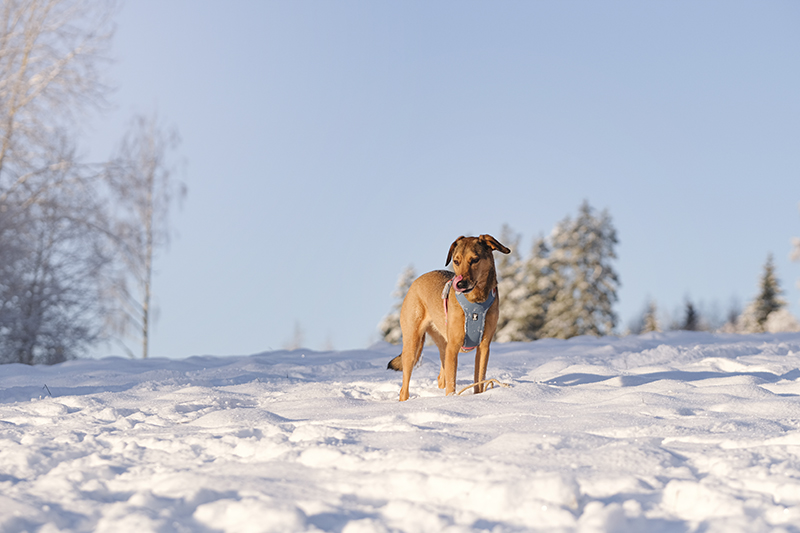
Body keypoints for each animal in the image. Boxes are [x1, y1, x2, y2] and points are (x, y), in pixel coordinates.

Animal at [390, 235, 512, 402]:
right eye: (456, 261)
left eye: (475, 260)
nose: (460, 283)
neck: (475, 303)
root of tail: (416, 281)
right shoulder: (453, 346)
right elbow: (452, 383)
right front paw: (453, 399)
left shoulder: (484, 346)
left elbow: (479, 381)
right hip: (413, 343)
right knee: (405, 388)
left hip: (442, 344)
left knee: (441, 377)